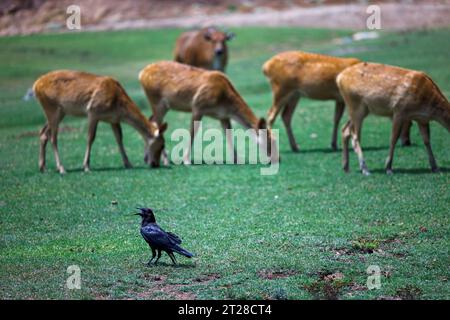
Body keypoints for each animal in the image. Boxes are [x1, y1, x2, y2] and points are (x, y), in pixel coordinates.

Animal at [32, 70, 168, 175]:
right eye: (162, 144)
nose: (155, 164)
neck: (119, 107)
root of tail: (35, 85)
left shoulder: (114, 119)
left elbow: (119, 139)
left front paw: (128, 163)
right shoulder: (93, 112)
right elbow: (90, 138)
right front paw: (86, 166)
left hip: (59, 112)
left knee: (43, 133)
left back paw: (43, 167)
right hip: (52, 107)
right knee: (53, 137)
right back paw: (61, 168)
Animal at [138, 60, 278, 165]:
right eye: (270, 140)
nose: (278, 159)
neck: (224, 101)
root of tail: (141, 74)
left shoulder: (223, 116)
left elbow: (229, 135)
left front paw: (237, 159)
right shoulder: (197, 106)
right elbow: (192, 133)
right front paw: (186, 161)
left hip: (162, 106)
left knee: (151, 120)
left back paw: (147, 158)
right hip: (157, 102)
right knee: (155, 123)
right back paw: (164, 160)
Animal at [264, 51, 414, 152]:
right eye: (409, 123)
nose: (407, 142)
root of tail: (266, 66)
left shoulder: (339, 99)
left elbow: (336, 118)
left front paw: (334, 144)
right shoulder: (348, 98)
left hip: (295, 95)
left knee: (286, 116)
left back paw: (295, 147)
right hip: (281, 88)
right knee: (270, 115)